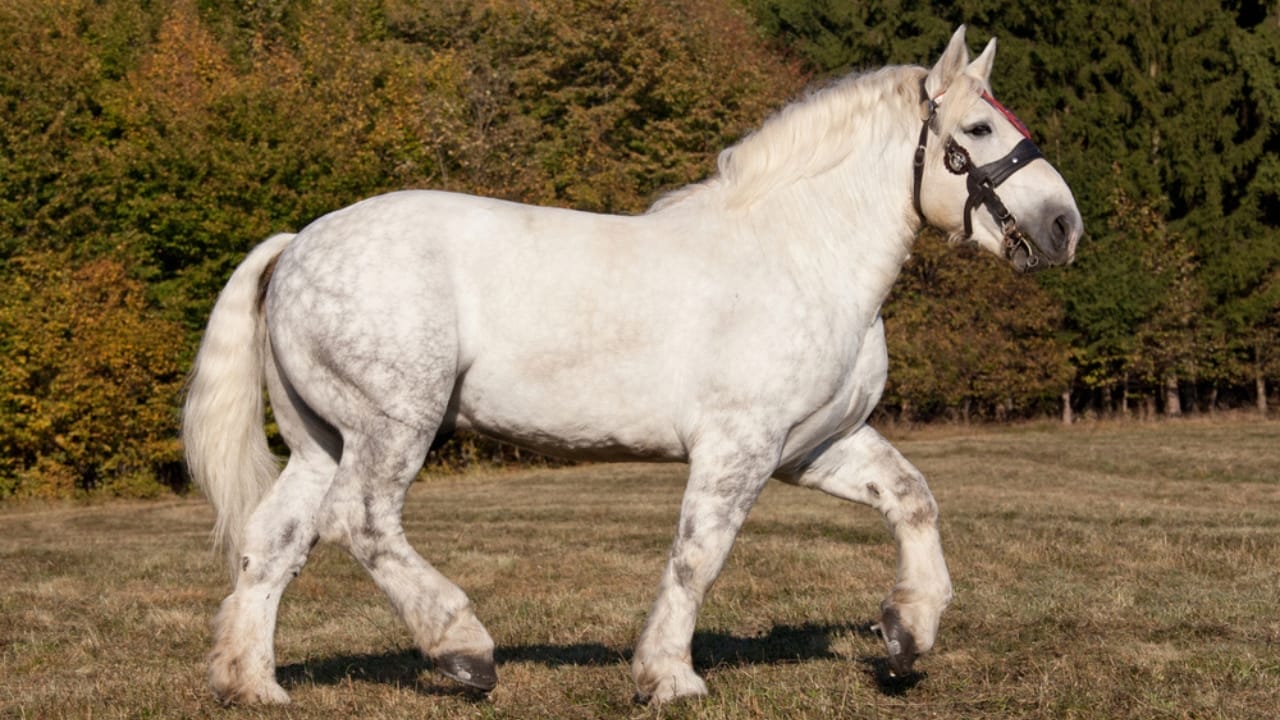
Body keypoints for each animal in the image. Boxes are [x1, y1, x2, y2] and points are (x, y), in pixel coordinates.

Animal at [182, 26, 1082, 705]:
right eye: (979, 133)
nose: (1065, 226)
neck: (801, 253)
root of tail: (298, 244)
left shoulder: (813, 446)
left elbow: (912, 500)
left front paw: (907, 632)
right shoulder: (738, 448)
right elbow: (698, 553)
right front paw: (669, 676)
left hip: (321, 439)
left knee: (275, 540)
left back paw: (252, 683)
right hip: (392, 424)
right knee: (361, 522)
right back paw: (464, 648)